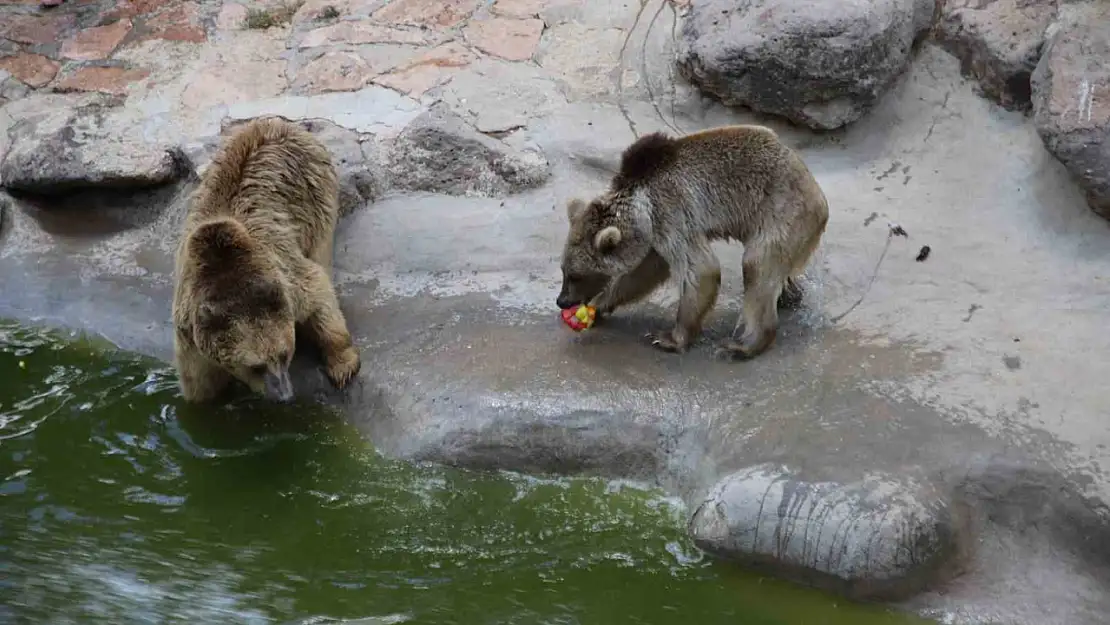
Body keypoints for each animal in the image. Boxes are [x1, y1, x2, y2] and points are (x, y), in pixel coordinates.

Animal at [170, 114, 359, 404]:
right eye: (255, 366)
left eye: (283, 354)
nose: (284, 394)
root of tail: (277, 122)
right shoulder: (191, 337)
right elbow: (200, 388)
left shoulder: (286, 276)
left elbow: (319, 293)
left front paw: (342, 365)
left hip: (315, 193)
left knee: (321, 250)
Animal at [559, 125, 830, 361]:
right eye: (564, 270)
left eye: (576, 275)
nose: (561, 300)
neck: (641, 209)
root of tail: (816, 190)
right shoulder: (656, 236)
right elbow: (643, 274)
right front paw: (599, 305)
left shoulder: (672, 213)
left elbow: (700, 269)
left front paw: (668, 338)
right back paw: (789, 295)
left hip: (781, 212)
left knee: (758, 267)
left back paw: (744, 344)